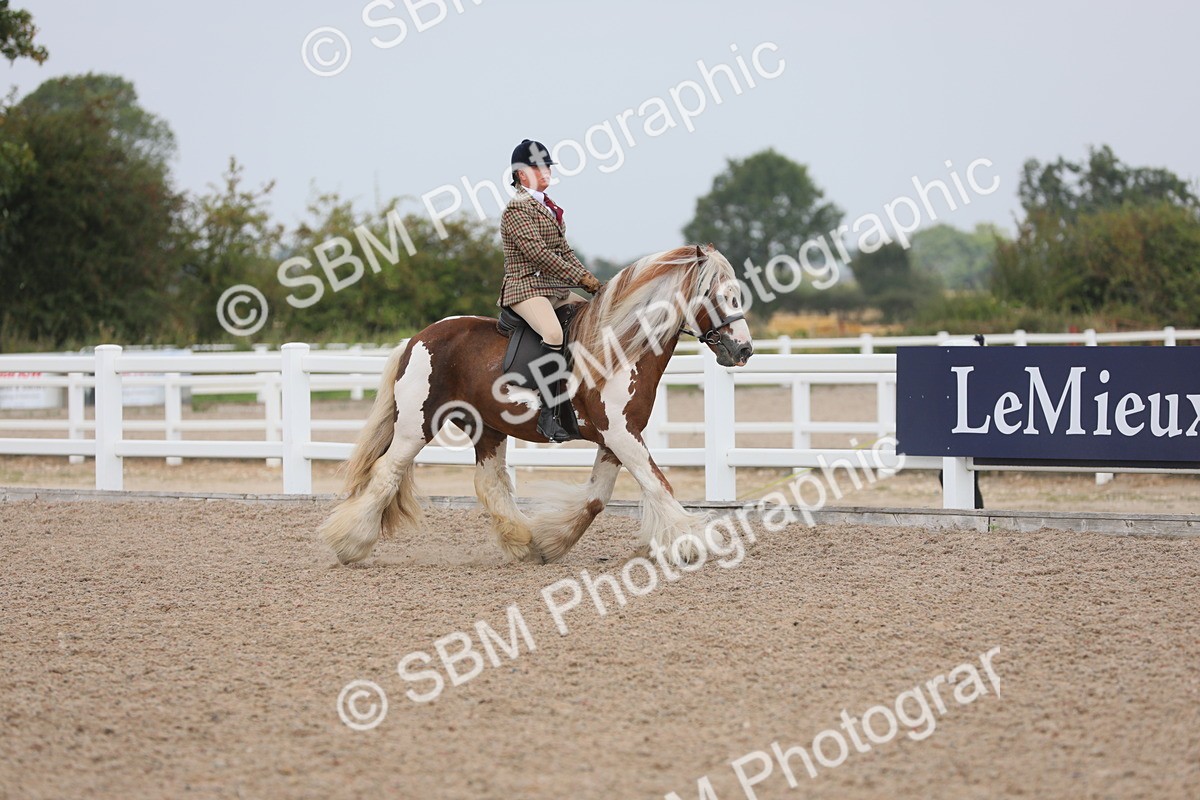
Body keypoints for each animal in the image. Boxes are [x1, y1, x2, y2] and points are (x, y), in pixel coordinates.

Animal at [317, 244, 753, 566]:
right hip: (416, 425)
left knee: (489, 483)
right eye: (718, 296)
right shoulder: (620, 434)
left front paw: (551, 542)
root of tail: (416, 339)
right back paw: (349, 544)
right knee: (387, 473)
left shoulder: (616, 437)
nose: (744, 350)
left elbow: (597, 498)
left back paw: (524, 542)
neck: (620, 347)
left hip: (487, 428)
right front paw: (691, 542)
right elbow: (658, 485)